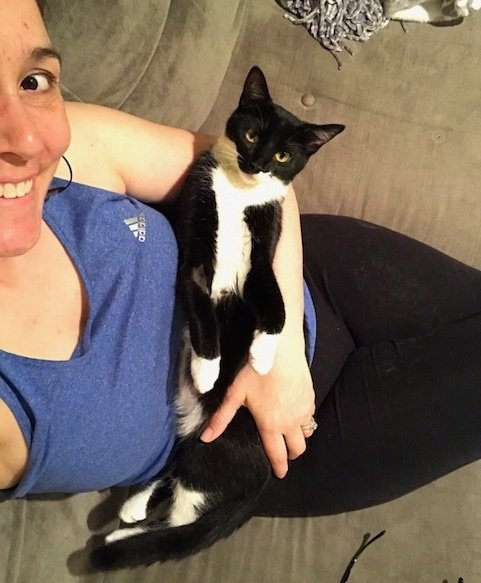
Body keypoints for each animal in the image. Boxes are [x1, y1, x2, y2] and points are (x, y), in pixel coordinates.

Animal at [90, 66, 344, 571]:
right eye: (251, 134)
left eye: (283, 155)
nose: (256, 162)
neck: (237, 195)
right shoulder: (194, 249)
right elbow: (202, 304)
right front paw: (209, 368)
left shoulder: (264, 251)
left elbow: (278, 305)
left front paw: (262, 357)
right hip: (208, 446)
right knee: (179, 496)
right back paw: (129, 517)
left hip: (216, 446)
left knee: (182, 503)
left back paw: (125, 523)